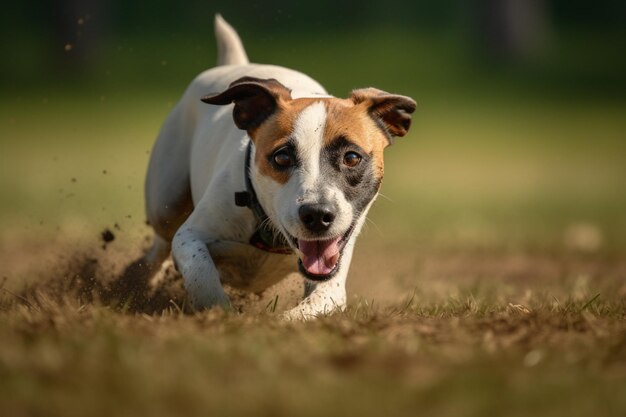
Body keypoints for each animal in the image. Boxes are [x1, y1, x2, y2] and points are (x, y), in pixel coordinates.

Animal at [134, 13, 412, 318]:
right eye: (282, 157)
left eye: (351, 157)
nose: (317, 215)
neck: (270, 234)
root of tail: (237, 64)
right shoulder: (190, 237)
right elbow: (201, 272)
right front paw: (220, 314)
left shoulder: (332, 276)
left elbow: (314, 303)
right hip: (165, 203)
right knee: (160, 245)